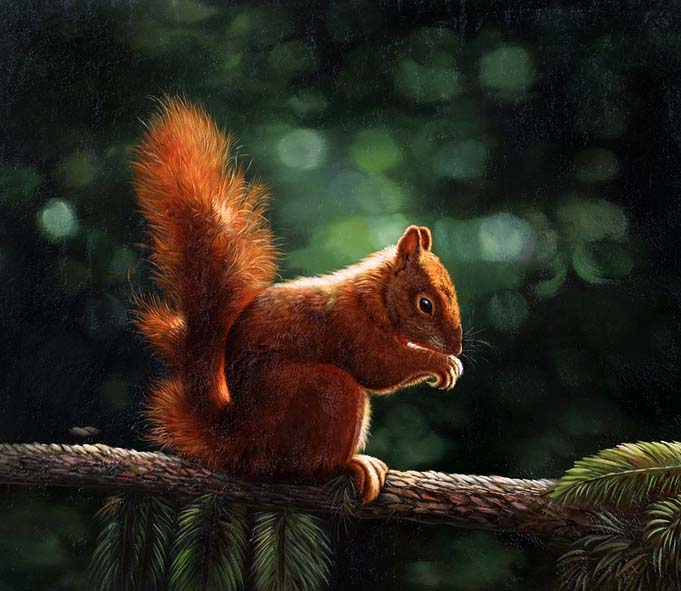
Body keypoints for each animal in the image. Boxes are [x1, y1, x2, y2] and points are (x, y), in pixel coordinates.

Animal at [132, 98, 464, 503]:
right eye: (425, 304)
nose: (457, 346)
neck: (374, 297)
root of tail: (238, 447)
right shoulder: (349, 325)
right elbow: (378, 366)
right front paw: (441, 363)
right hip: (323, 393)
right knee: (306, 466)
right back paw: (352, 465)